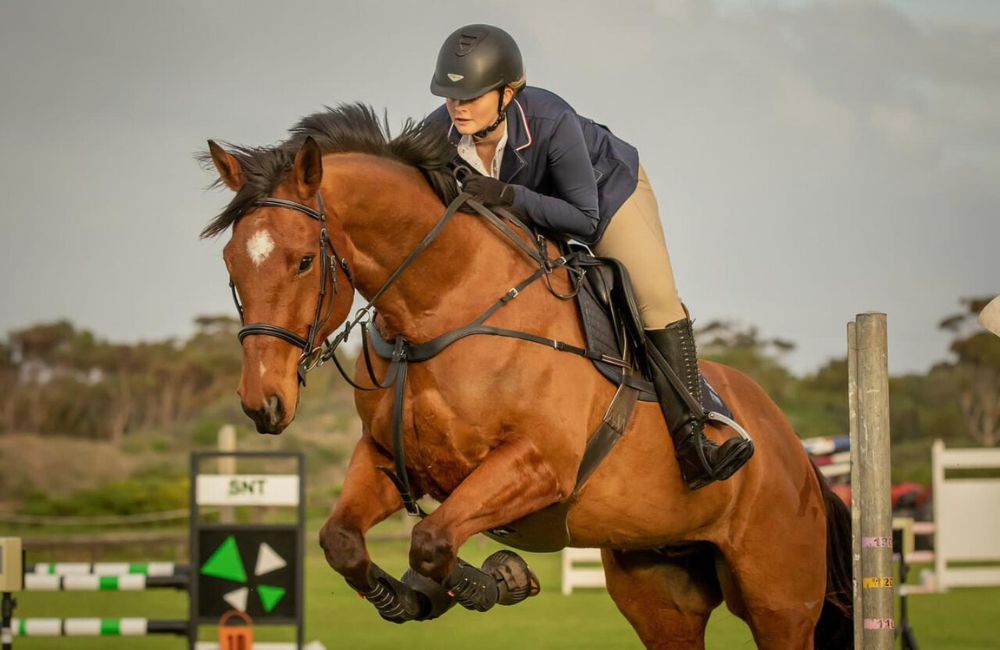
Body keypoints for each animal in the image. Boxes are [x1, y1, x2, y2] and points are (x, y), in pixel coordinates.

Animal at [202, 104, 852, 649]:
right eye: (231, 265)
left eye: (304, 261)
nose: (263, 403)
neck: (444, 304)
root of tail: (797, 450)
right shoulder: (390, 460)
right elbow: (343, 541)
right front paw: (416, 596)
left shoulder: (538, 464)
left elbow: (433, 540)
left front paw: (500, 577)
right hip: (659, 590)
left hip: (779, 600)